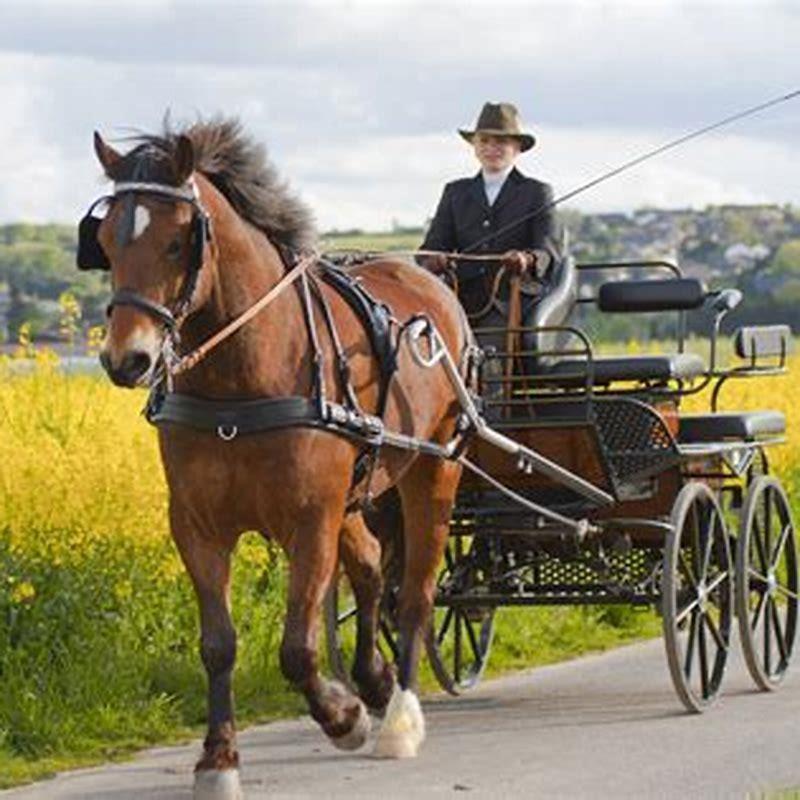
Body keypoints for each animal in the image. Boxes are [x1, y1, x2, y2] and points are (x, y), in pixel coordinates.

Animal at [84, 117, 469, 799]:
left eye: (178, 241)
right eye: (104, 240)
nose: (127, 359)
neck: (240, 383)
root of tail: (431, 283)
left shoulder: (309, 521)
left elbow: (297, 647)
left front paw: (342, 718)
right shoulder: (197, 526)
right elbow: (218, 644)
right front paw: (217, 760)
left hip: (434, 470)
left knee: (417, 595)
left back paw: (398, 715)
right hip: (358, 490)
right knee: (372, 570)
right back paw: (373, 680)